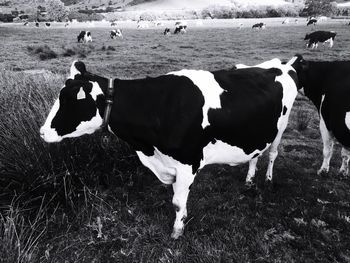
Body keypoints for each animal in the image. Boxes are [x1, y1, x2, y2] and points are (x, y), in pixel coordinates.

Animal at [40, 58, 298, 240]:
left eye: (70, 101)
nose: (42, 132)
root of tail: (281, 65)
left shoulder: (187, 163)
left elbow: (176, 201)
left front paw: (177, 230)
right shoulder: (170, 163)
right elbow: (177, 199)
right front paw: (182, 221)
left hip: (281, 128)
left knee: (272, 153)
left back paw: (267, 180)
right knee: (256, 155)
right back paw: (249, 180)